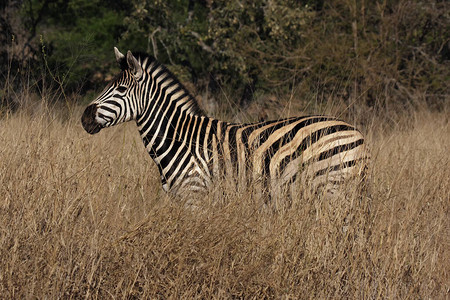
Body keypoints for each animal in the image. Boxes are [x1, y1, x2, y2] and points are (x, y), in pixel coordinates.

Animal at [81, 48, 370, 204]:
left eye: (120, 89)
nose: (84, 118)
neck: (179, 140)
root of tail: (356, 131)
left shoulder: (194, 196)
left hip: (332, 189)